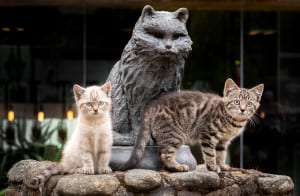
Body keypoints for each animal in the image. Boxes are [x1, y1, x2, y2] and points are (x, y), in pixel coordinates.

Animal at [120, 78, 264, 172]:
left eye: (249, 104)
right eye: (236, 102)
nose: (243, 109)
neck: (233, 121)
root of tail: (152, 106)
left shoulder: (223, 141)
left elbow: (221, 154)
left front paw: (222, 165)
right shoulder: (207, 133)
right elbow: (210, 153)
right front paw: (212, 167)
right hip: (176, 134)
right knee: (165, 154)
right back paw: (178, 166)